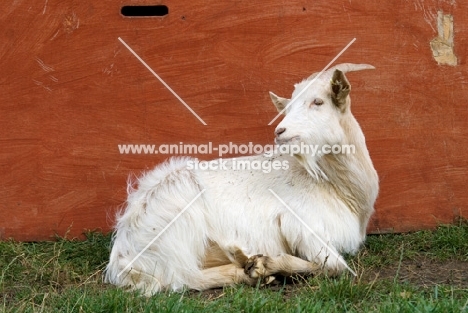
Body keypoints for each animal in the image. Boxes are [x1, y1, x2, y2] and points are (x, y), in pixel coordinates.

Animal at [104, 64, 378, 294]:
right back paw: (250, 269)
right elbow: (334, 267)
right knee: (183, 277)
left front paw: (262, 265)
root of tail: (123, 257)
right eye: (288, 108)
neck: (344, 192)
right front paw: (266, 263)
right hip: (179, 221)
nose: (280, 131)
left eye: (318, 101)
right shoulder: (299, 222)